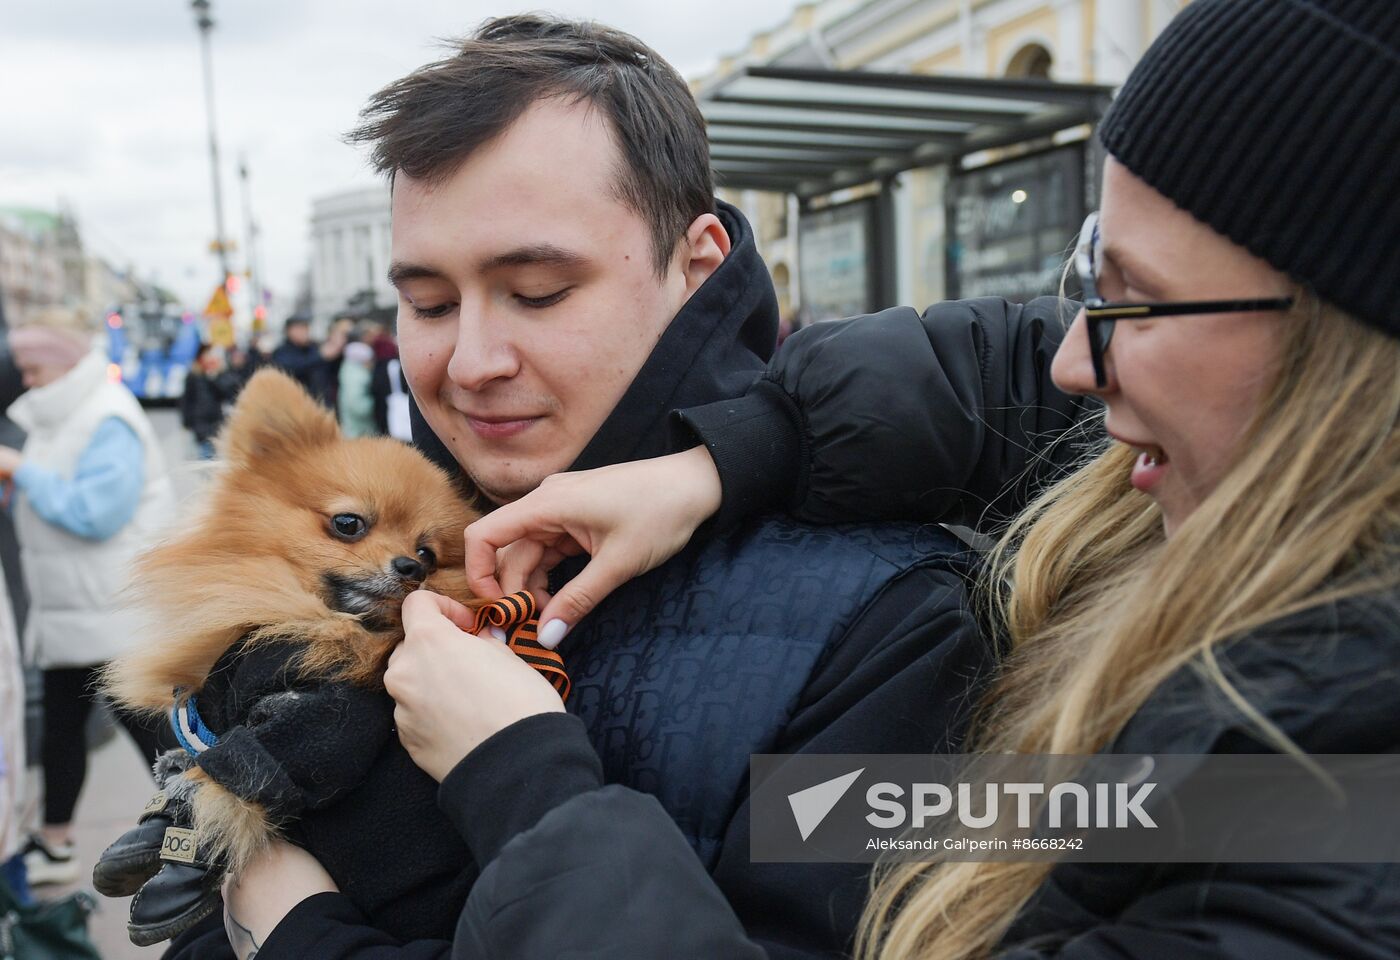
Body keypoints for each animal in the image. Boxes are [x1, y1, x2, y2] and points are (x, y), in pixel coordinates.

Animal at [94, 369, 487, 946]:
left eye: (428, 554)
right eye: (349, 524)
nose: (410, 568)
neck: (298, 616)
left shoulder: (321, 719)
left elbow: (240, 773)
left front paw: (182, 862)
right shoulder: (214, 707)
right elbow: (197, 755)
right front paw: (156, 819)